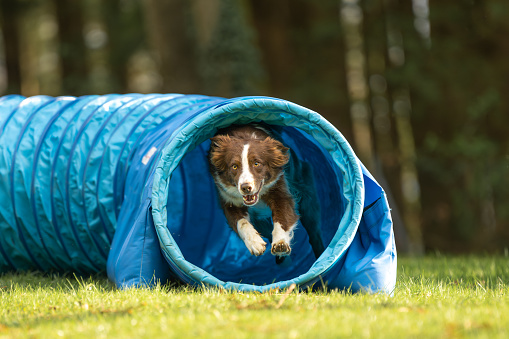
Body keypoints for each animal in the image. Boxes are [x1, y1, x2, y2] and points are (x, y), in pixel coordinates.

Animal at [207, 124, 324, 262]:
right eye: (234, 166)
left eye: (257, 163)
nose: (246, 188)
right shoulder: (228, 199)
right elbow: (241, 222)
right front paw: (255, 243)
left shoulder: (279, 188)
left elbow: (282, 216)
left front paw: (280, 243)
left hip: (307, 193)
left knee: (314, 231)